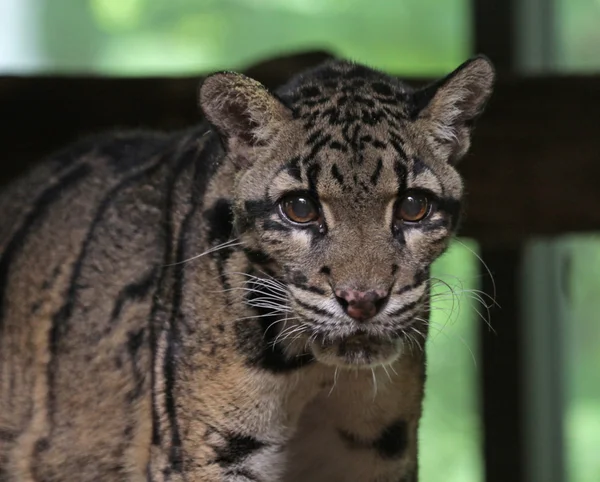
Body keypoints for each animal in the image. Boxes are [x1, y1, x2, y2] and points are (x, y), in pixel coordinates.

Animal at [0, 55, 494, 478]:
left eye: (413, 206)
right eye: (299, 208)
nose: (362, 301)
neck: (314, 372)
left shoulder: (380, 450)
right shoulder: (209, 450)